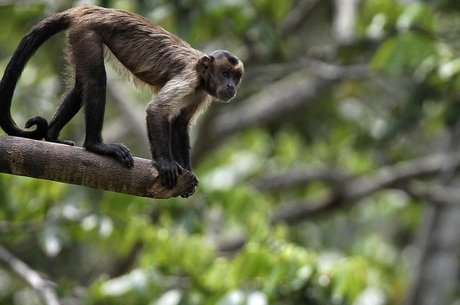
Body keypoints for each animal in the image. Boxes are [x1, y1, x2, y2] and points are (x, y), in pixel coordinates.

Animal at [0, 5, 244, 197]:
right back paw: (95, 145)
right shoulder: (189, 79)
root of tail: (89, 9)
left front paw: (188, 172)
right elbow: (156, 111)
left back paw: (52, 135)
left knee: (81, 85)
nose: (231, 87)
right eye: (225, 74)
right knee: (96, 80)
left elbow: (180, 124)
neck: (201, 75)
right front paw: (165, 163)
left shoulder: (200, 93)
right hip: (86, 32)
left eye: (236, 77)